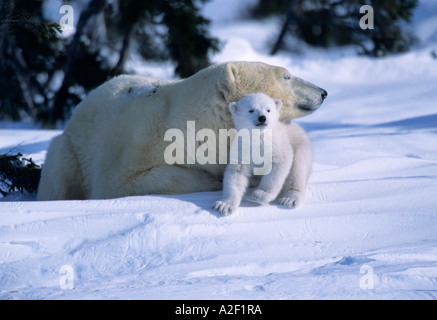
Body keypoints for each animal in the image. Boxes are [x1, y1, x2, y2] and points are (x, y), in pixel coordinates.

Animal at [37, 61, 326, 204]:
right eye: (287, 76)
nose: (322, 92)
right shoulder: (135, 144)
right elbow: (120, 183)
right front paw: (210, 180)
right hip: (70, 150)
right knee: (59, 178)